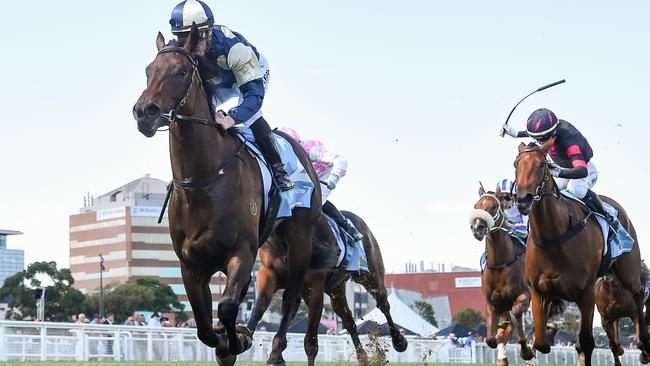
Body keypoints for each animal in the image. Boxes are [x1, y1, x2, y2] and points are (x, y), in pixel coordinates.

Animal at [132, 24, 322, 364]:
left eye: (181, 72)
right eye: (148, 70)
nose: (144, 112)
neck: (203, 181)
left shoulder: (241, 252)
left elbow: (228, 307)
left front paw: (236, 342)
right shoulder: (191, 265)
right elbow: (204, 326)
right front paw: (226, 341)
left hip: (300, 238)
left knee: (290, 297)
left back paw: (275, 350)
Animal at [244, 212, 402, 366]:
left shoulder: (314, 288)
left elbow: (310, 342)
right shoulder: (270, 274)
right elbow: (261, 305)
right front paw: (246, 338)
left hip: (371, 278)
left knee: (383, 304)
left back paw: (399, 341)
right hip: (336, 290)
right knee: (349, 321)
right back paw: (363, 358)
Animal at [468, 187, 536, 364]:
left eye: (493, 207)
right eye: (476, 205)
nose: (477, 227)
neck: (501, 265)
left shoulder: (524, 296)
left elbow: (517, 315)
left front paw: (526, 351)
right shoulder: (492, 303)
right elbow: (492, 338)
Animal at [512, 141, 648, 366]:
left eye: (542, 165)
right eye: (516, 164)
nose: (524, 198)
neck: (555, 237)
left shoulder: (586, 292)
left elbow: (586, 342)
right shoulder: (539, 292)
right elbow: (541, 342)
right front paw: (536, 343)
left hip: (628, 271)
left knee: (638, 295)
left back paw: (644, 342)